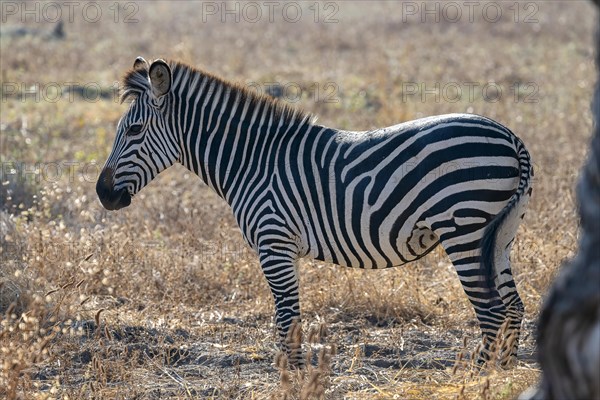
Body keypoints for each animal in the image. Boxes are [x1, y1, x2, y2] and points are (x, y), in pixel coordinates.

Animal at [97, 57, 536, 368]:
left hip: (463, 229)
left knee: (492, 312)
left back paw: (477, 379)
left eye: (133, 131)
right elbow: (288, 321)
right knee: (513, 307)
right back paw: (502, 376)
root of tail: (511, 137)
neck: (252, 160)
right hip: (500, 233)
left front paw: (292, 379)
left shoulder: (274, 243)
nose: (102, 194)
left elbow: (287, 321)